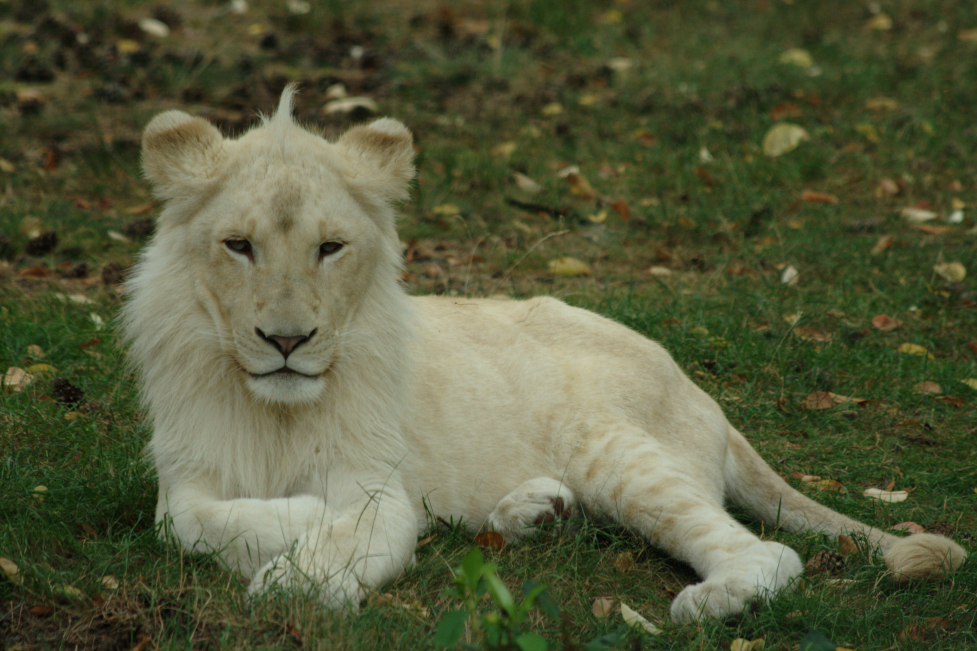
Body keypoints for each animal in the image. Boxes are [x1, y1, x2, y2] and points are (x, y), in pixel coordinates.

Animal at [122, 87, 966, 623]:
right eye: (238, 245)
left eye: (329, 248)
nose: (287, 341)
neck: (274, 411)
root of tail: (703, 395)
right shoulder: (186, 473)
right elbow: (187, 523)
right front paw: (297, 519)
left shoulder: (376, 485)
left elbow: (351, 529)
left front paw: (299, 569)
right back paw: (532, 510)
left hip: (616, 451)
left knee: (767, 553)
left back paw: (711, 597)